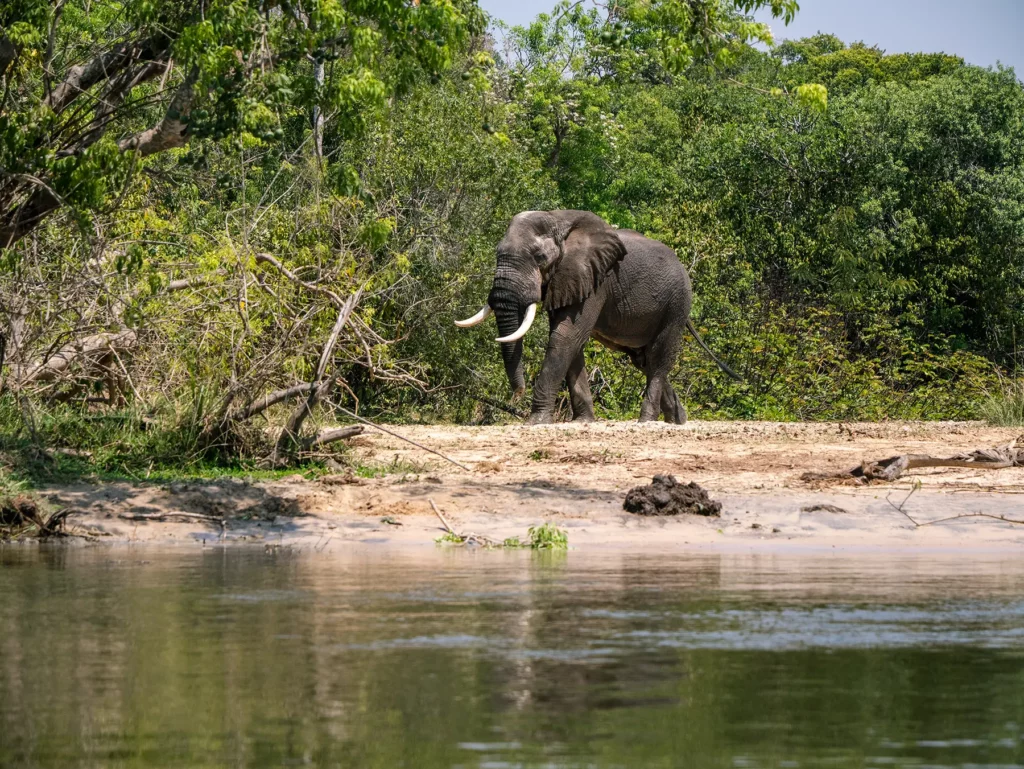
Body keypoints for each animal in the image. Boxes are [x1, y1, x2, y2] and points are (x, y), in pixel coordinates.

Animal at [455, 210, 740, 425]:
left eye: (540, 257)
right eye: (497, 253)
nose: (517, 393)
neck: (557, 219)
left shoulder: (595, 279)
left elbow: (566, 336)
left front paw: (535, 423)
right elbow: (569, 341)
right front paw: (583, 422)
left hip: (677, 303)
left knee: (660, 357)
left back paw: (647, 421)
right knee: (644, 360)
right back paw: (677, 421)